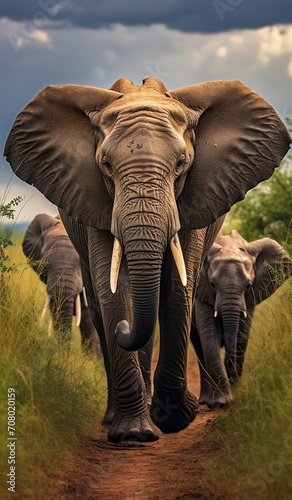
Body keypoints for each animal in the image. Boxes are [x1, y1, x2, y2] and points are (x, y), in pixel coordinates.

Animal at [192, 230, 292, 410]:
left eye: (248, 286)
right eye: (213, 285)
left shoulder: (252, 296)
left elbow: (242, 335)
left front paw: (234, 396)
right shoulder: (202, 292)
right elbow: (210, 335)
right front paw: (220, 403)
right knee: (198, 345)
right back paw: (204, 401)